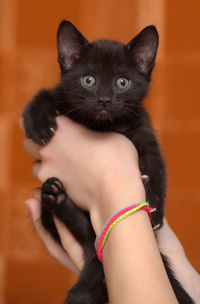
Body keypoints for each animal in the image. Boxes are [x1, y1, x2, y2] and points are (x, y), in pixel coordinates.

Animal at [22, 21, 195, 304]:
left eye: (122, 82)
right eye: (88, 80)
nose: (104, 100)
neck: (101, 126)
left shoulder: (143, 132)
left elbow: (158, 168)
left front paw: (155, 206)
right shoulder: (63, 96)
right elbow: (46, 93)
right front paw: (38, 123)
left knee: (95, 245)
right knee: (86, 234)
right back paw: (56, 198)